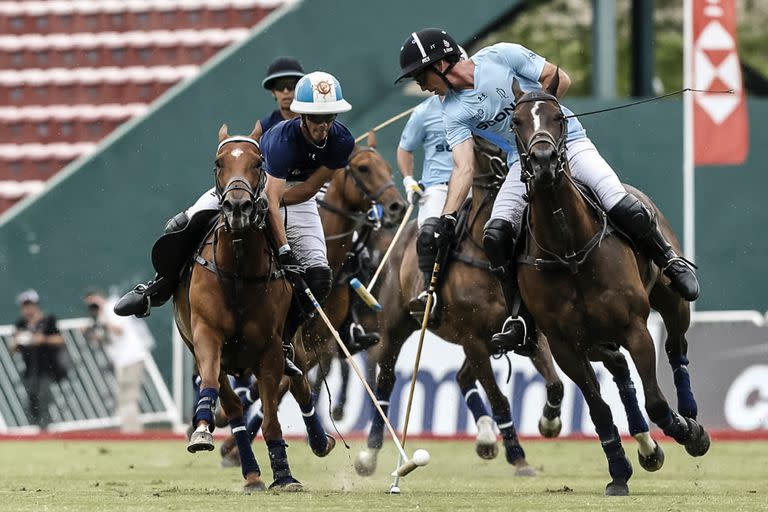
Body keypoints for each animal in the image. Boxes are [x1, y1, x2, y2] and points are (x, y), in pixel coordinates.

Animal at [175, 125, 300, 492]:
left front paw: (284, 475)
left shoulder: (272, 348)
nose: (237, 206)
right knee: (232, 407)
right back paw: (251, 472)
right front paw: (202, 429)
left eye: (259, 163)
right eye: (219, 163)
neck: (239, 270)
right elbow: (215, 389)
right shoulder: (206, 334)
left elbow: (271, 417)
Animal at [512, 78, 712, 494]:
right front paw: (619, 470)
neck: (569, 249)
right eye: (516, 121)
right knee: (618, 366)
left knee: (676, 348)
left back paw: (688, 413)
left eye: (559, 116)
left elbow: (656, 401)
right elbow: (599, 408)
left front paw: (689, 433)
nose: (542, 161)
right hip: (594, 339)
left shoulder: (635, 327)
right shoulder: (564, 345)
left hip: (671, 302)